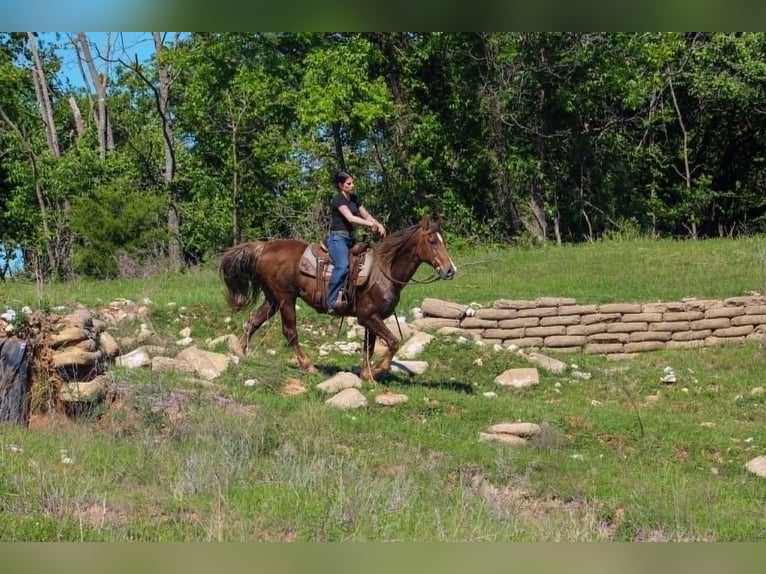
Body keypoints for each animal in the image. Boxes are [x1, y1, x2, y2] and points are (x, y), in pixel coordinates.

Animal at [219, 215, 457, 381]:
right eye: (432, 241)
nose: (449, 270)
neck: (384, 270)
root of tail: (263, 247)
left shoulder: (372, 318)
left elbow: (369, 347)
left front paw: (366, 374)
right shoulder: (368, 316)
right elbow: (393, 342)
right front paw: (377, 371)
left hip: (273, 299)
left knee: (253, 321)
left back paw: (239, 352)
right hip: (286, 299)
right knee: (290, 332)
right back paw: (308, 366)